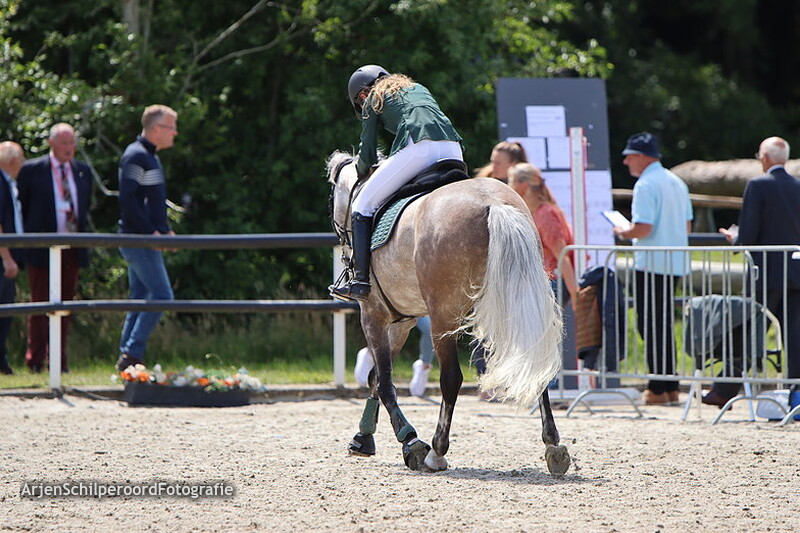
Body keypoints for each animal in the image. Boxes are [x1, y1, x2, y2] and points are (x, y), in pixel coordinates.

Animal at [327, 150, 571, 476]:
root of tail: (494, 204)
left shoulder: (373, 315)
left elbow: (386, 381)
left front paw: (410, 442)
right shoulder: (402, 322)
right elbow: (376, 377)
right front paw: (363, 437)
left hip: (443, 318)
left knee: (451, 379)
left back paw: (437, 451)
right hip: (514, 304)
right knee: (536, 364)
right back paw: (553, 447)